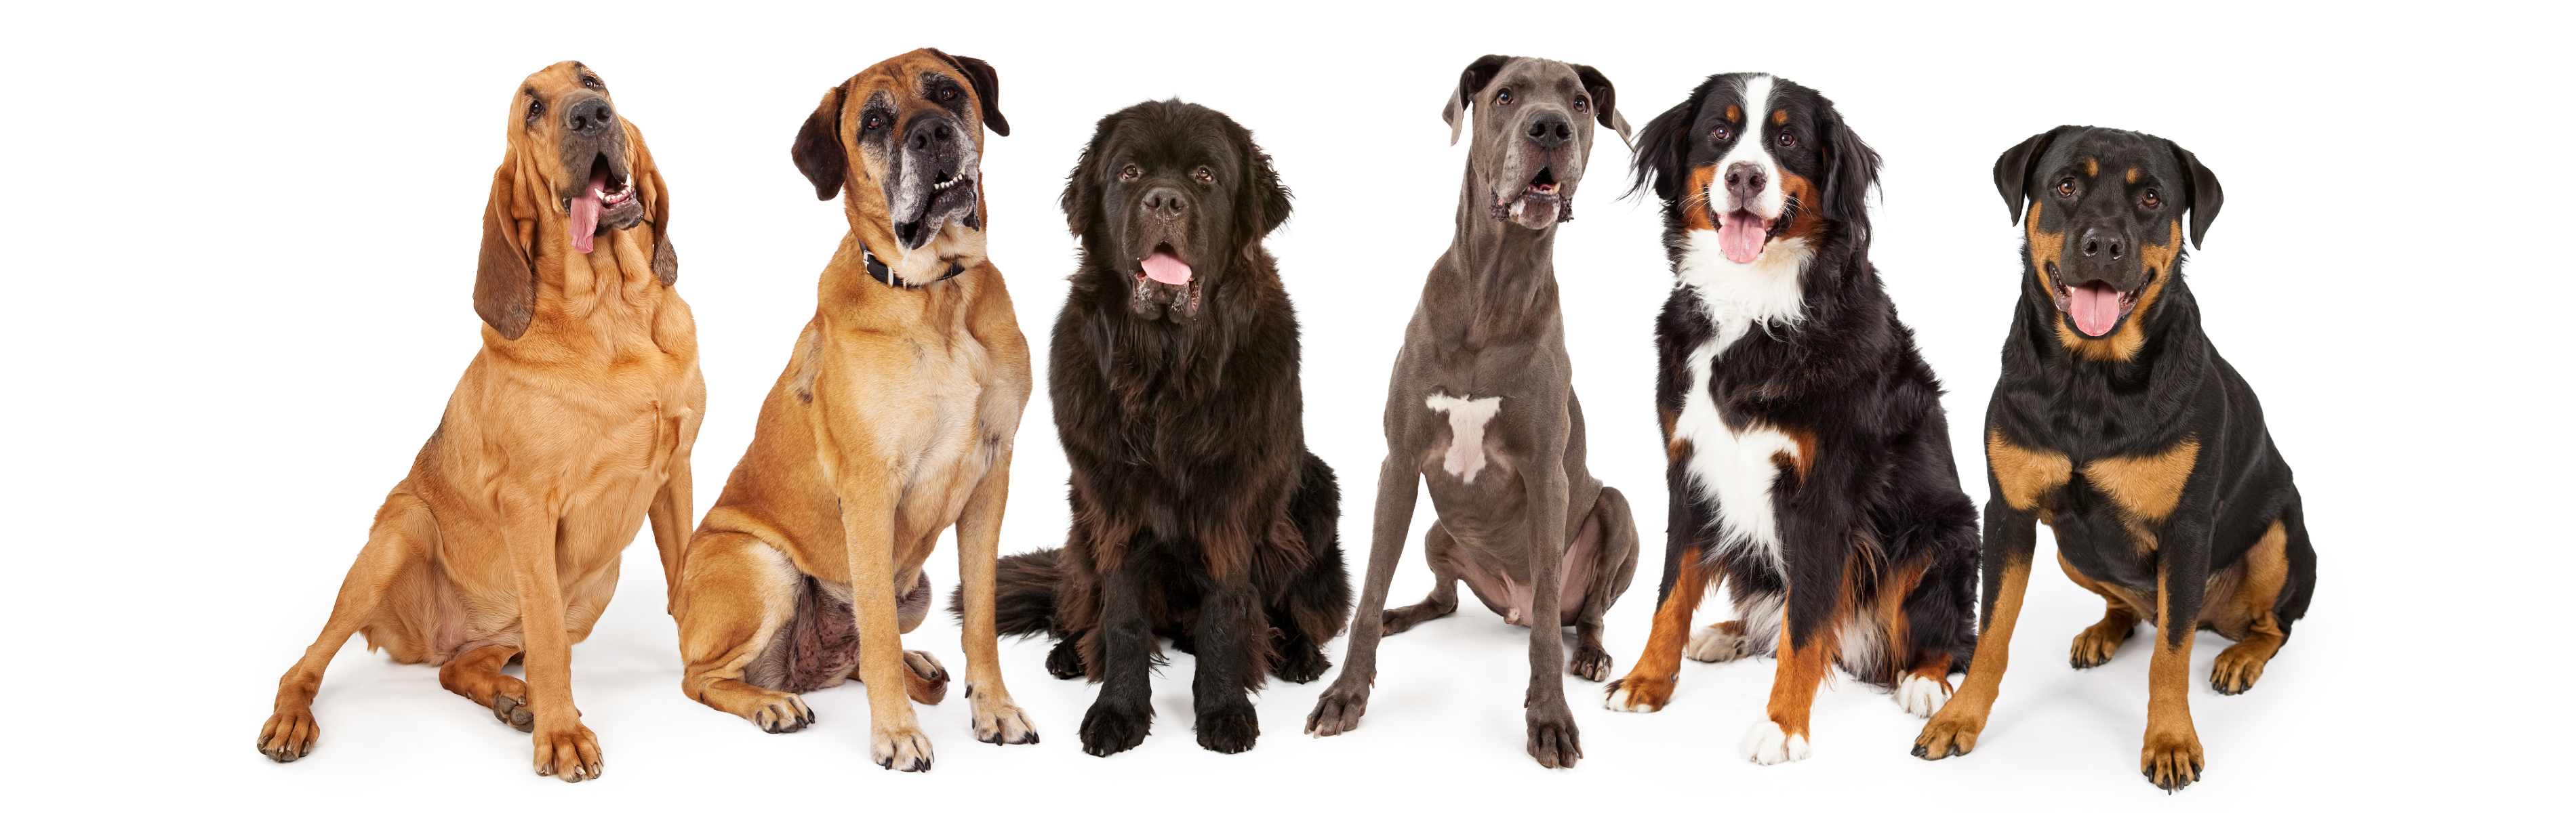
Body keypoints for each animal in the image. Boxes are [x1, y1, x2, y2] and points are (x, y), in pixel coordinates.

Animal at [973, 100, 1360, 756]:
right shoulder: (1114, 503)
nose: (1164, 201)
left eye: (1205, 176)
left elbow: (1228, 609)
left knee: (1296, 604)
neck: (1167, 368)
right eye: (1129, 172)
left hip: (1316, 492)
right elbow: (1124, 617)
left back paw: (1297, 654)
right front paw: (1118, 712)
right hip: (1079, 527)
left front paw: (1225, 710)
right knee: (1084, 604)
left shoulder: (1232, 503)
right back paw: (1070, 653)